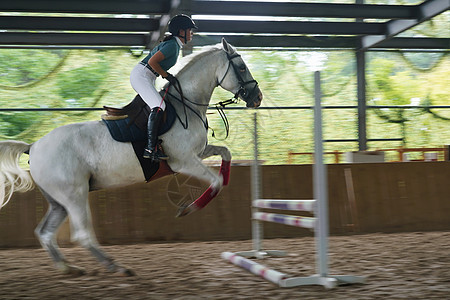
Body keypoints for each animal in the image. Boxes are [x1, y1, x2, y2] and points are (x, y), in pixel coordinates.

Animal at [0, 38, 264, 276]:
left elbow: (226, 154)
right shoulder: (183, 161)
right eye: (242, 67)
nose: (257, 97)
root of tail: (33, 146)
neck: (185, 105)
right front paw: (188, 209)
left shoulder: (198, 153)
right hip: (74, 194)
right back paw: (115, 266)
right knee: (82, 233)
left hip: (58, 201)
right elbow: (215, 182)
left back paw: (68, 267)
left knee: (45, 232)